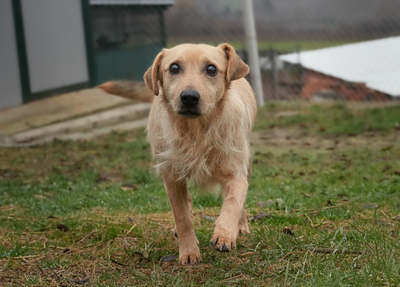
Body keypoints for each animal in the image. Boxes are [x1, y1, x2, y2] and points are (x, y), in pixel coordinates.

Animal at [99, 43, 258, 266]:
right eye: (174, 68)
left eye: (211, 69)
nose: (189, 97)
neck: (196, 133)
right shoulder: (172, 179)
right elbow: (182, 218)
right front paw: (189, 251)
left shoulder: (236, 174)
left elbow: (233, 203)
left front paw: (225, 233)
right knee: (187, 202)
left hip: (247, 165)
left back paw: (240, 226)